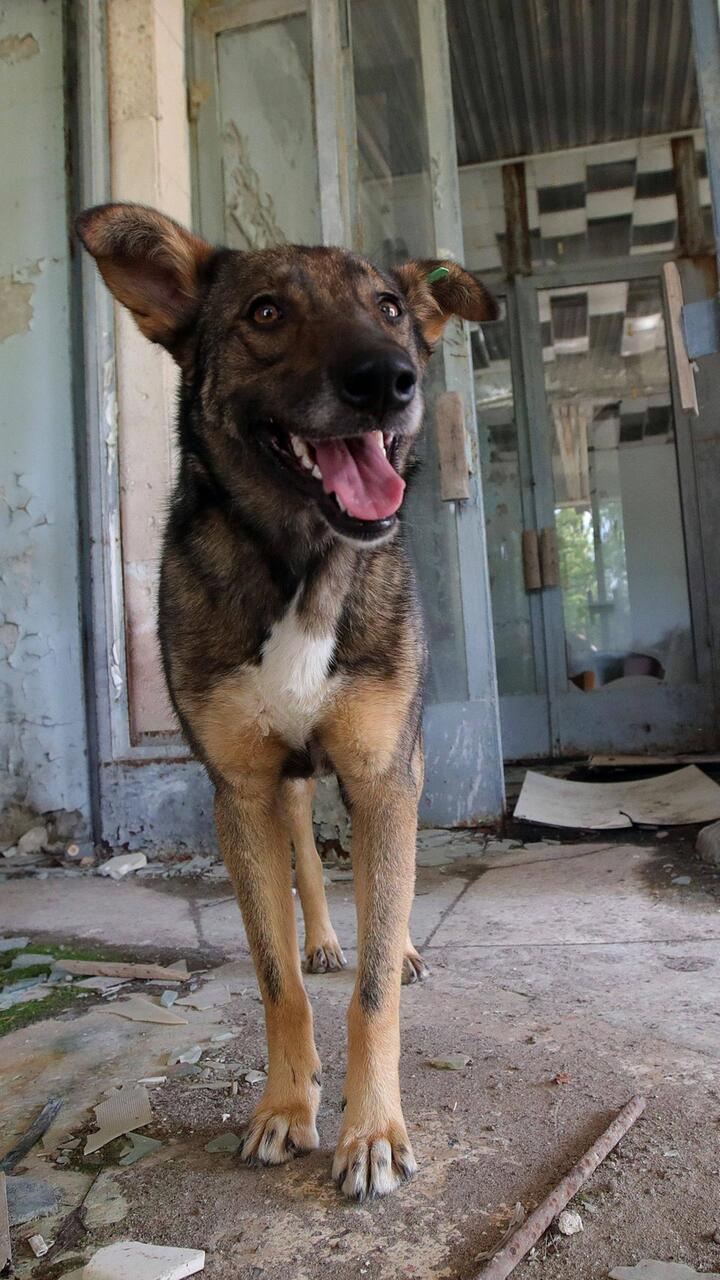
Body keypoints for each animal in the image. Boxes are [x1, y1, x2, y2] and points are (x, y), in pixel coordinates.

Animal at [75, 202, 497, 1198]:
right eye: (265, 313)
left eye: (390, 307)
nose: (390, 380)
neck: (305, 562)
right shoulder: (242, 789)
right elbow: (276, 977)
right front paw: (284, 1105)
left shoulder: (385, 772)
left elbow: (374, 986)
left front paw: (372, 1129)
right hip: (293, 785)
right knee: (308, 863)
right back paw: (324, 940)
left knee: (381, 891)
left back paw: (397, 943)